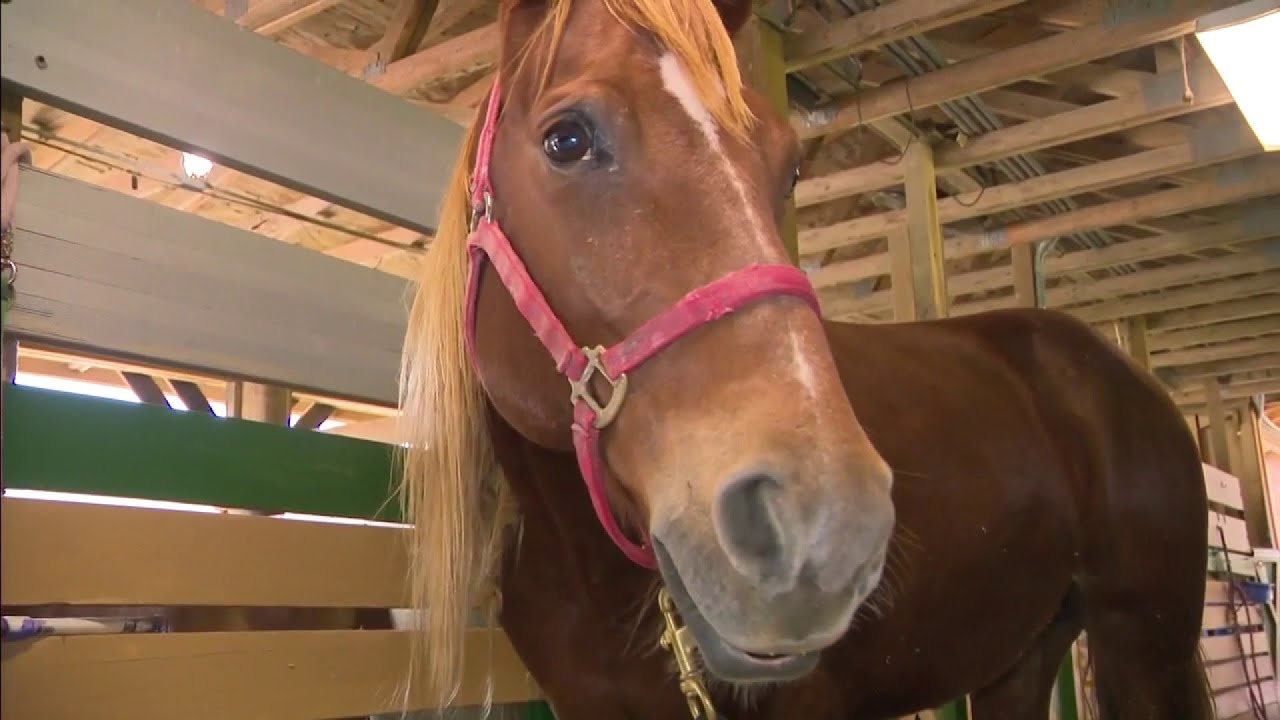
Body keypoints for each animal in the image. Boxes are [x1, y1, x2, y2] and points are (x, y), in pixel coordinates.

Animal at [393, 0, 1214, 717]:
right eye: (566, 139)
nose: (824, 528)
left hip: (1147, 641)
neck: (588, 571)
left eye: (789, 167)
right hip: (1020, 653)